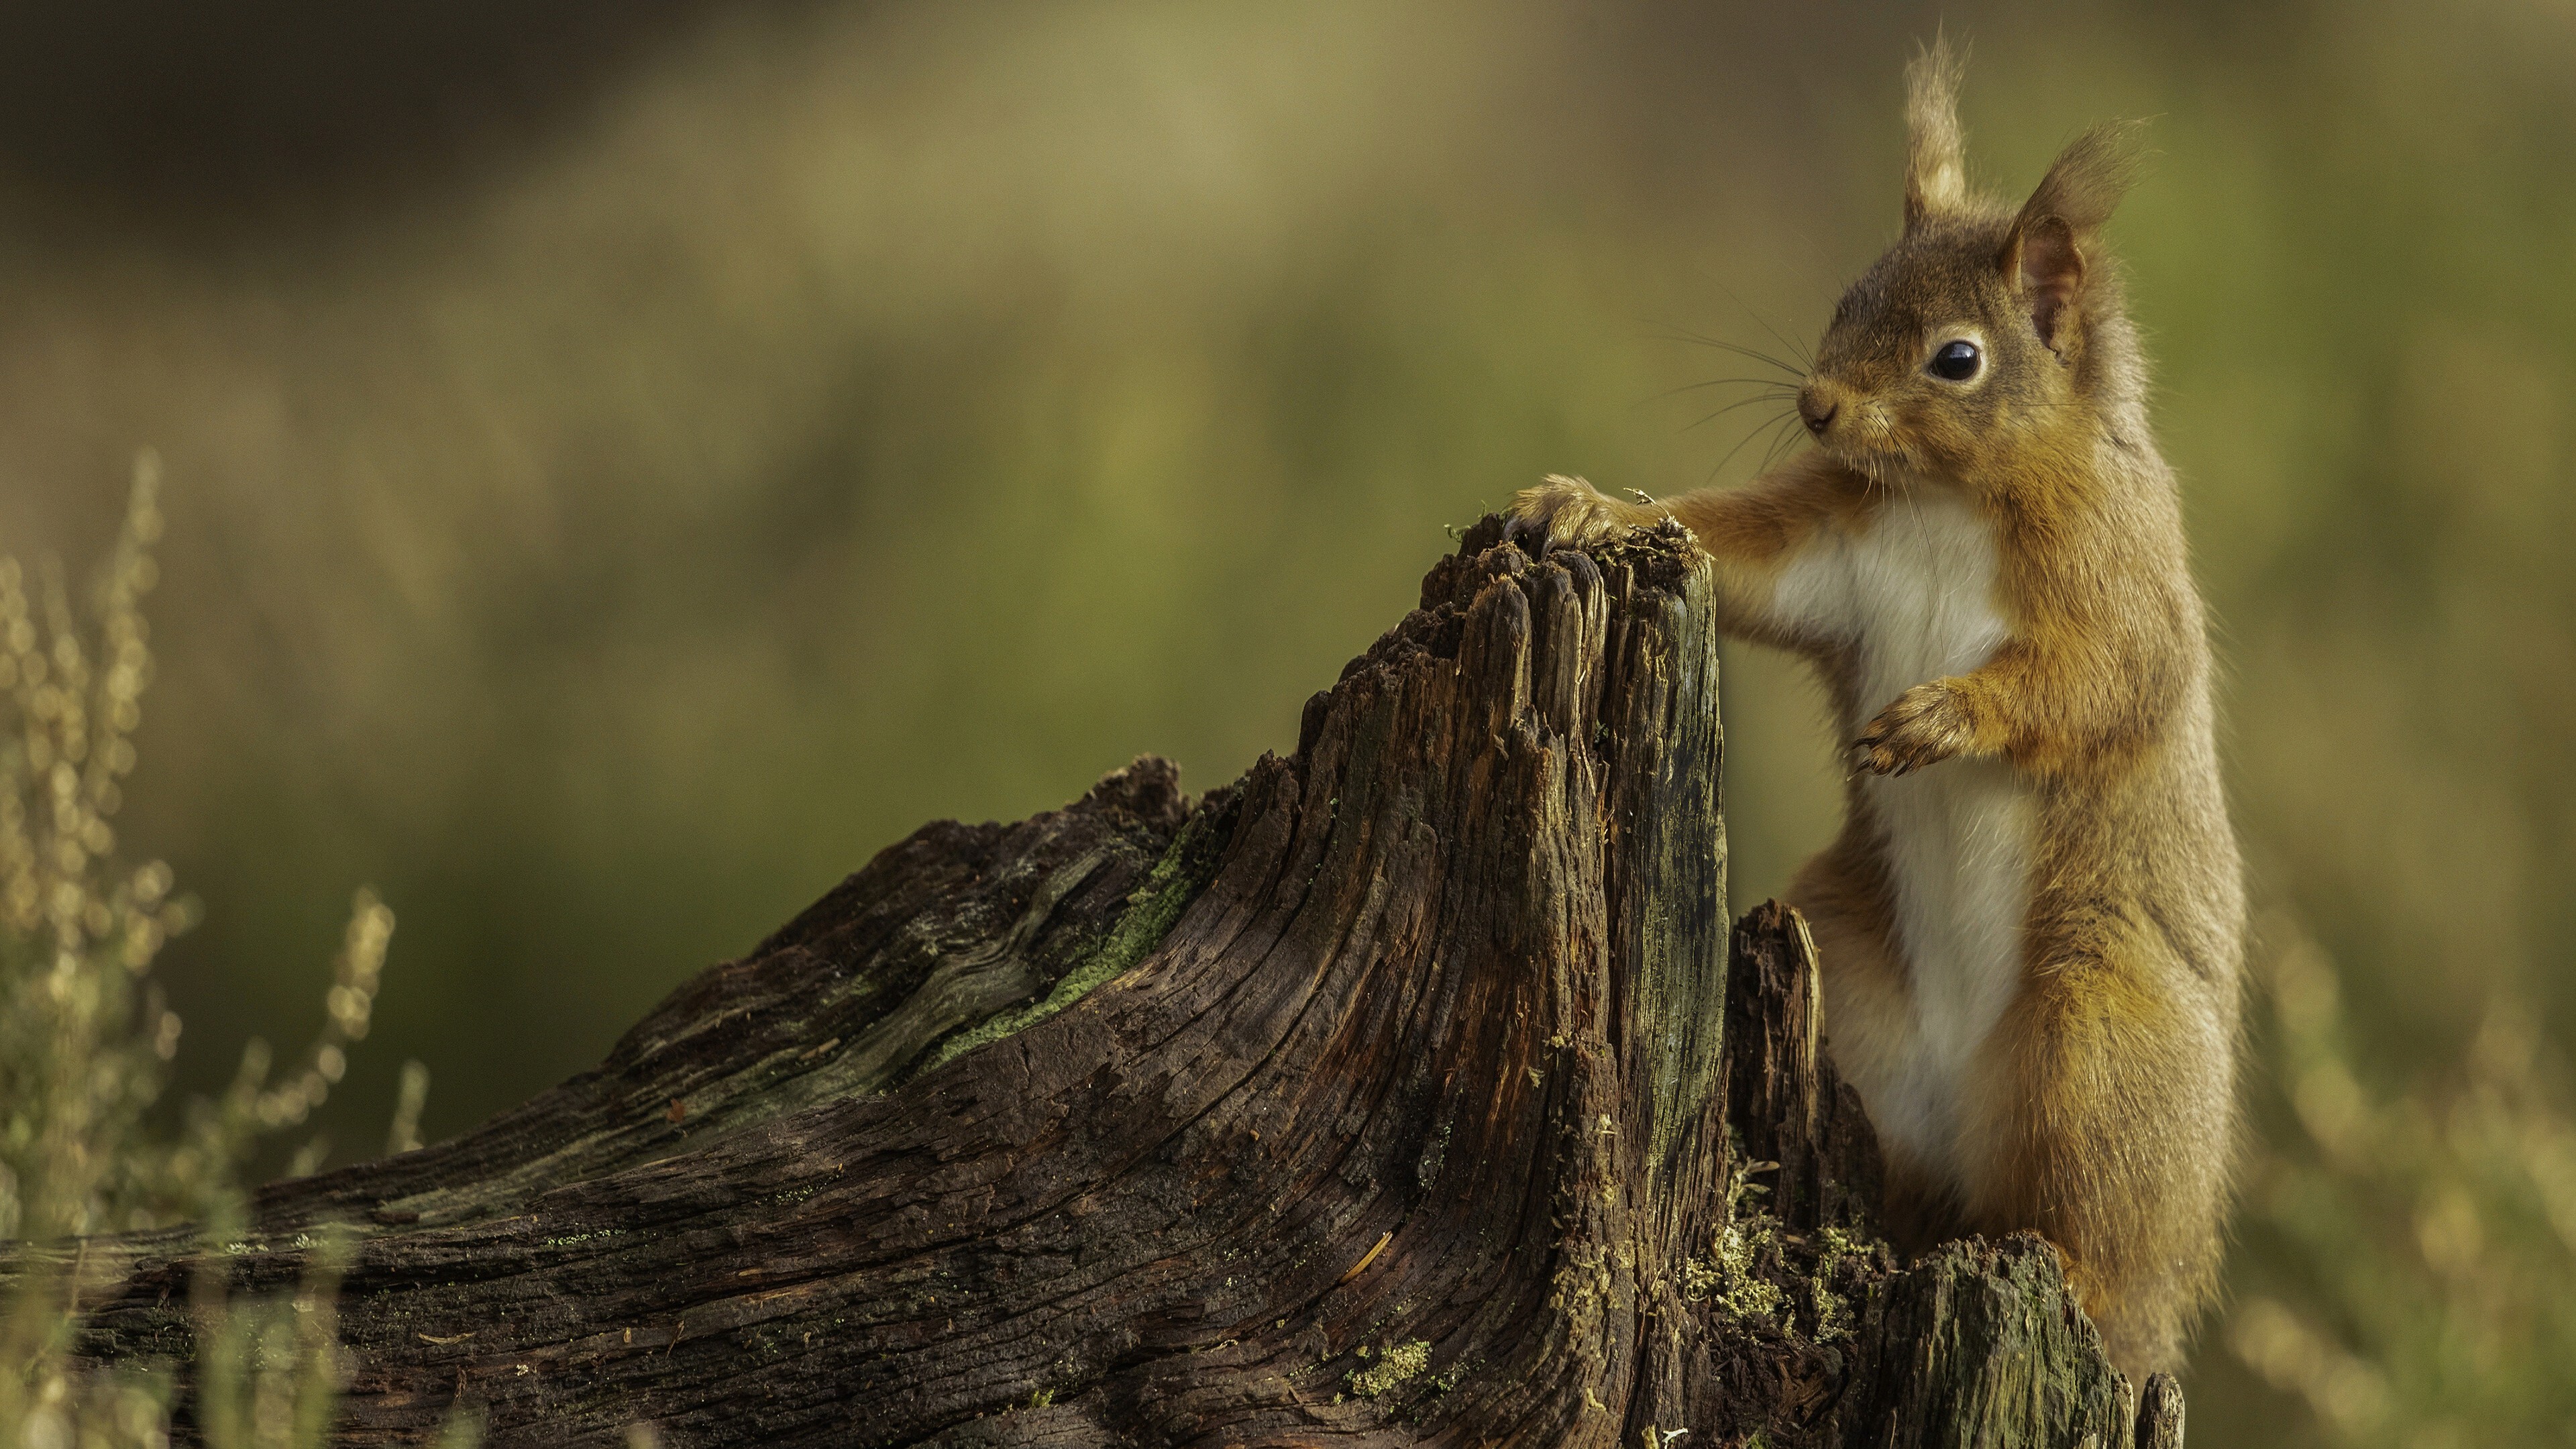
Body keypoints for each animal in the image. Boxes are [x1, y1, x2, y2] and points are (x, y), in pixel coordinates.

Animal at [1507, 38, 2242, 1379]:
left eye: (1958, 358)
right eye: (1849, 296)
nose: (1816, 407)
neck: (1948, 497)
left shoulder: (2123, 585)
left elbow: (2097, 684)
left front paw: (1942, 718)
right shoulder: (1829, 551)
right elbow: (1731, 549)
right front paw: (1598, 507)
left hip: (2104, 1043)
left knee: (2094, 1236)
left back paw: (2074, 1272)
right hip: (1847, 977)